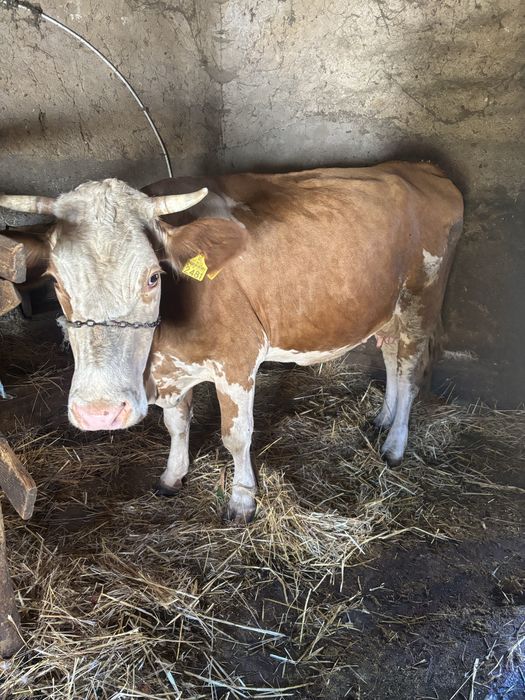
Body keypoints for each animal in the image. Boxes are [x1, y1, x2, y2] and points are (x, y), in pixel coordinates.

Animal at [0, 161, 463, 523]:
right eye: (57, 282)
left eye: (153, 277)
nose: (100, 413)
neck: (160, 356)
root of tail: (423, 169)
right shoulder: (174, 367)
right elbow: (176, 423)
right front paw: (173, 476)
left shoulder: (237, 362)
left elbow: (236, 435)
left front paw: (242, 500)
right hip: (387, 310)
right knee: (390, 356)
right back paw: (382, 418)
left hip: (421, 302)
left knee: (408, 372)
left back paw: (395, 445)